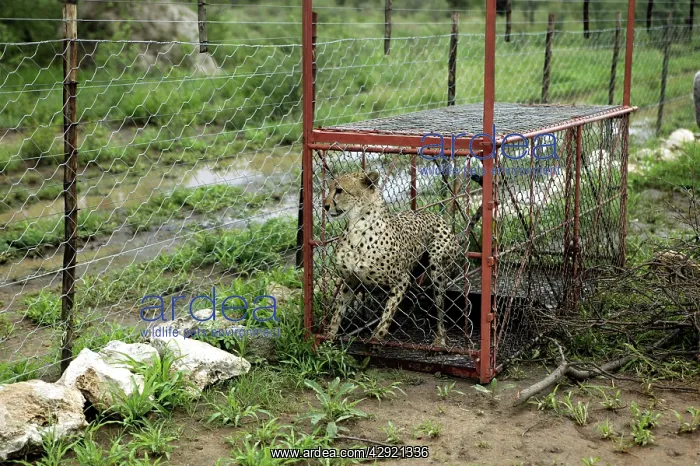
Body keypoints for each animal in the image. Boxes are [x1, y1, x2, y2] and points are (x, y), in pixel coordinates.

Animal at [323, 170, 460, 346]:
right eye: (329, 189)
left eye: (339, 190)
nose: (325, 205)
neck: (357, 227)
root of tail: (435, 215)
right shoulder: (350, 281)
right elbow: (337, 313)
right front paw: (328, 338)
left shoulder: (402, 280)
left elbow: (388, 313)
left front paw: (376, 338)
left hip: (437, 269)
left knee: (440, 310)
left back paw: (440, 339)